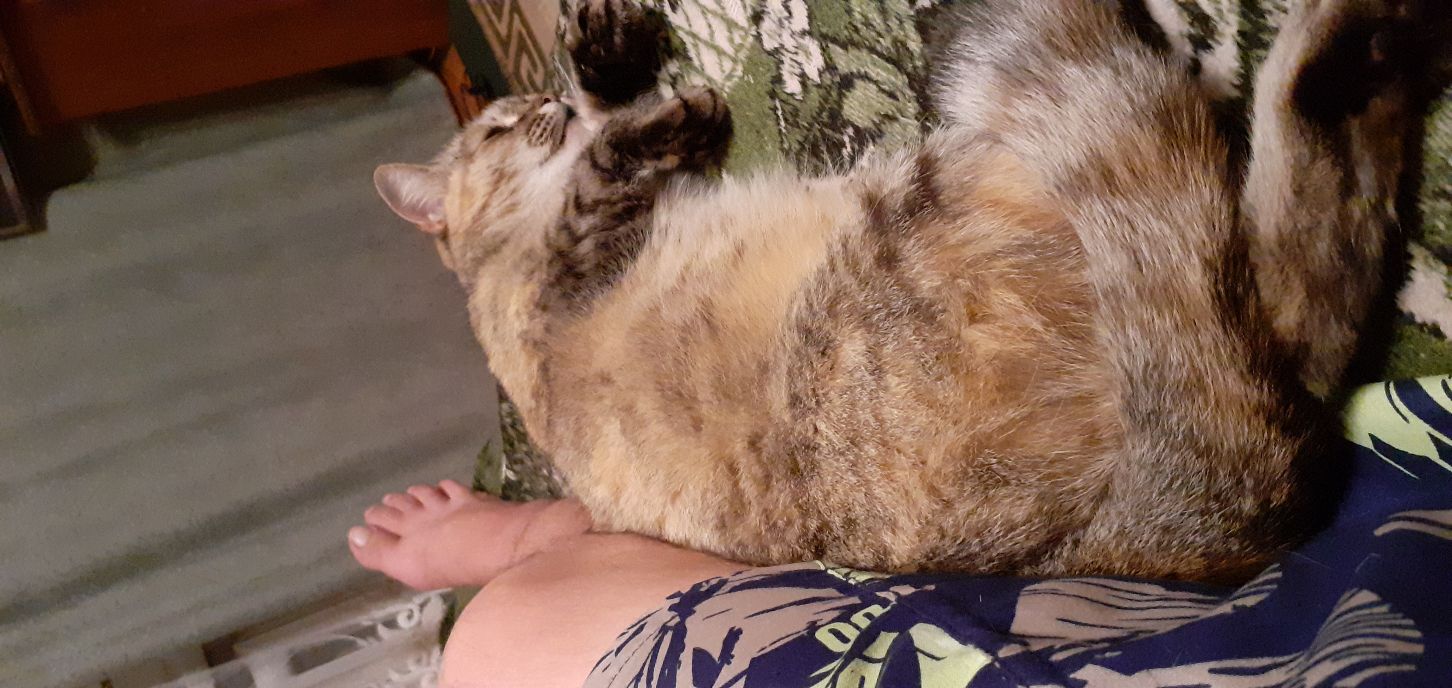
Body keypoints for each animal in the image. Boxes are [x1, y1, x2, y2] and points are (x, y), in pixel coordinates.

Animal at [374, 0, 1450, 583]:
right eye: (498, 128)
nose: (541, 106)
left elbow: (615, 121)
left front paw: (609, 61)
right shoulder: (579, 250)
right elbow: (611, 157)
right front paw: (633, 95)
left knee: (1303, 294)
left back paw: (1367, 62)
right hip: (978, 183)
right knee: (1268, 281)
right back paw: (1350, 49)